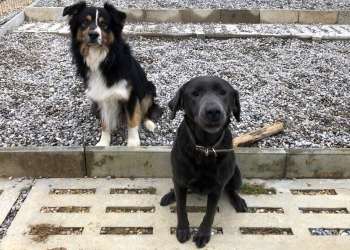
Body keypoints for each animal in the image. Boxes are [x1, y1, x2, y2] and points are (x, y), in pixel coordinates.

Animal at [160, 76, 247, 248]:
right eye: (195, 93)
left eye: (222, 92)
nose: (213, 111)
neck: (206, 147)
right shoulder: (180, 179)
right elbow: (181, 207)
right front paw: (183, 229)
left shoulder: (217, 187)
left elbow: (210, 213)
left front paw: (203, 234)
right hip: (175, 176)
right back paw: (170, 195)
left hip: (236, 176)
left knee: (231, 188)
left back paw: (238, 200)